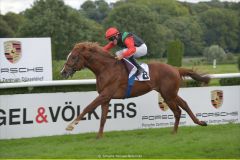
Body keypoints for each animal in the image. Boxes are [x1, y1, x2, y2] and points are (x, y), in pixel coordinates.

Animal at [60, 42, 210, 138]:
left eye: (73, 57)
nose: (63, 72)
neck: (105, 69)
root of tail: (175, 69)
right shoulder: (106, 97)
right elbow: (102, 118)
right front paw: (99, 136)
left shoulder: (105, 94)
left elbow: (88, 108)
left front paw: (70, 126)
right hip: (168, 93)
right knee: (183, 104)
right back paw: (199, 123)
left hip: (168, 94)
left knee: (178, 110)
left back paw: (176, 131)